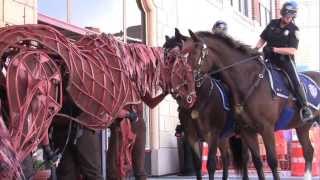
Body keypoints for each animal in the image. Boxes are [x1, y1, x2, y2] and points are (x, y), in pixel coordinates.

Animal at [181, 30, 318, 179]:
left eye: (194, 53)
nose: (185, 82)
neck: (249, 81)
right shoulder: (248, 131)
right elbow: (257, 162)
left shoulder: (266, 129)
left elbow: (272, 161)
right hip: (302, 126)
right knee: (309, 151)